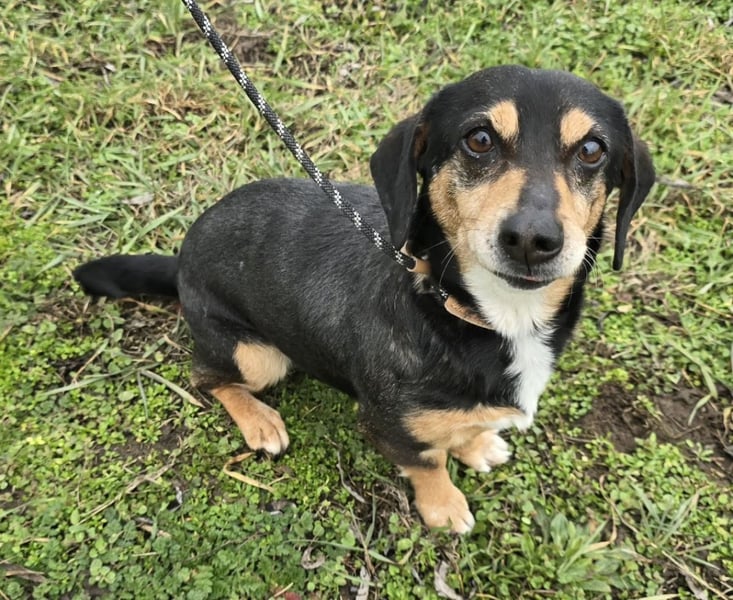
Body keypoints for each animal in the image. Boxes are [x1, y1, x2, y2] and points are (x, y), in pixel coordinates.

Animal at [74, 65, 654, 533]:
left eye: (592, 150)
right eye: (480, 139)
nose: (532, 239)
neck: (475, 311)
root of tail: (181, 257)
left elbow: (461, 430)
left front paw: (476, 444)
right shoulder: (387, 427)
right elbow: (427, 463)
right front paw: (444, 507)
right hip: (256, 355)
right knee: (208, 377)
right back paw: (259, 421)